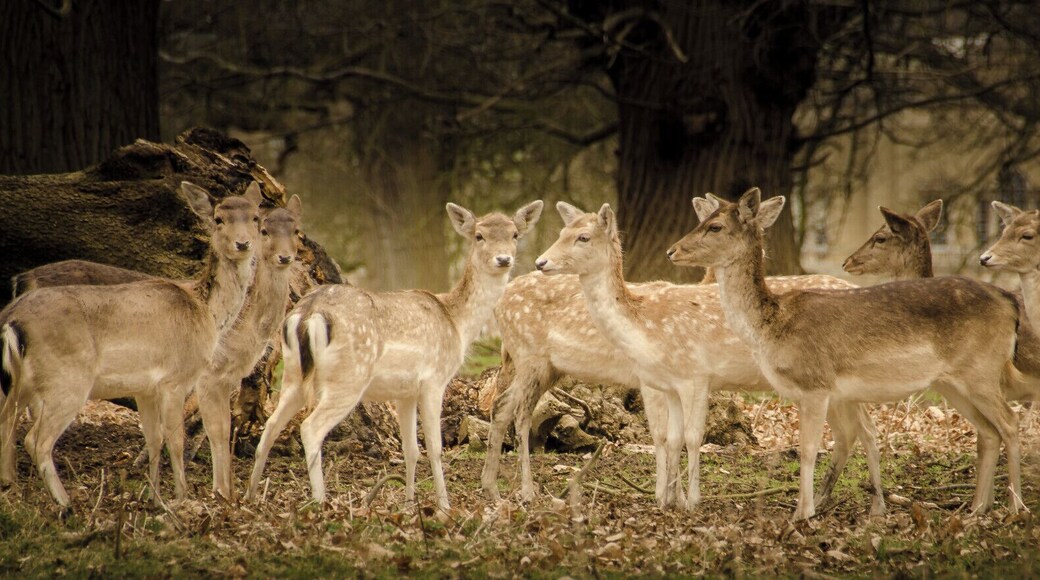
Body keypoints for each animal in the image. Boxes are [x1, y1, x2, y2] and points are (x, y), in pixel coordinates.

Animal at [7, 194, 304, 500]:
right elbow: (209, 430)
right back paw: (60, 500)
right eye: (265, 229)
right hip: (66, 381)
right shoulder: (205, 376)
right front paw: (216, 493)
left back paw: (15, 484)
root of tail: (20, 282)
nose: (284, 257)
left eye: (297, 231)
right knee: (33, 433)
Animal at [245, 200, 543, 510]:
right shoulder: (434, 380)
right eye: (479, 235)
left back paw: (249, 497)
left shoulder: (405, 392)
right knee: (310, 428)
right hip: (348, 378)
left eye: (514, 234)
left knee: (270, 427)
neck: (456, 324)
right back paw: (320, 501)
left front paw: (410, 503)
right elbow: (435, 447)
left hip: (293, 374)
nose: (503, 259)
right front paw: (445, 506)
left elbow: (411, 449)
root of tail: (307, 314)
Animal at [527, 200, 886, 514]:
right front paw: (668, 500)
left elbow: (686, 436)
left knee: (865, 431)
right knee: (850, 434)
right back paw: (829, 501)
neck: (643, 327)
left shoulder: (691, 377)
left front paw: (688, 500)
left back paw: (872, 506)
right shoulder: (665, 382)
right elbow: (670, 438)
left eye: (583, 237)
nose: (540, 262)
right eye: (561, 231)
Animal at [667, 187, 1025, 520]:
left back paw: (1015, 507)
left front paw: (803, 513)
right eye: (702, 220)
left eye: (714, 226)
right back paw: (977, 508)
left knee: (1010, 422)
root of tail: (1009, 303)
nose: (673, 250)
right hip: (953, 382)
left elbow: (809, 449)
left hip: (981, 371)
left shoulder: (815, 383)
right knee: (989, 431)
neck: (773, 327)